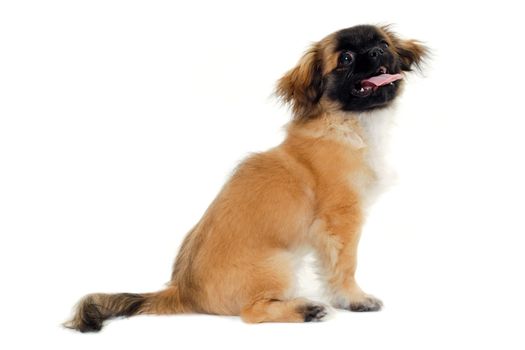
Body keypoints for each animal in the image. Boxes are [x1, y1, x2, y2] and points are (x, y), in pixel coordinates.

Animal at [65, 23, 426, 330]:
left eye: (383, 44)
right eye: (347, 58)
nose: (377, 53)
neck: (348, 125)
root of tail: (182, 291)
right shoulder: (343, 221)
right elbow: (346, 265)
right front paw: (354, 299)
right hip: (280, 263)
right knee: (251, 313)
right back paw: (305, 310)